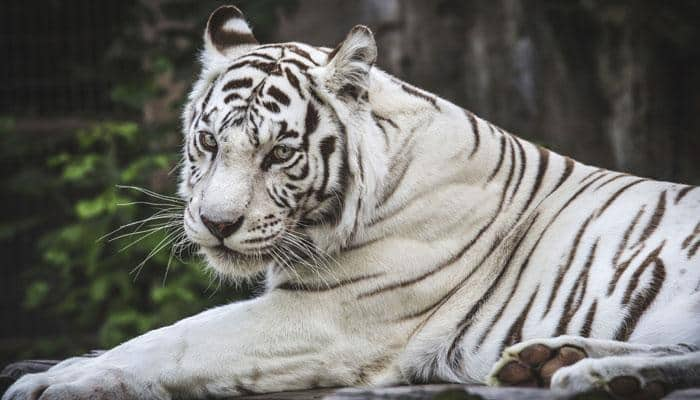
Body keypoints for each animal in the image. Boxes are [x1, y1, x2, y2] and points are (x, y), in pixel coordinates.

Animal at [6, 6, 700, 400]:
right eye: (207, 142)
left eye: (280, 153)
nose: (217, 224)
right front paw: (68, 364)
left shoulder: (325, 317)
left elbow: (172, 340)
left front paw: (55, 382)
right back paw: (556, 361)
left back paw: (590, 374)